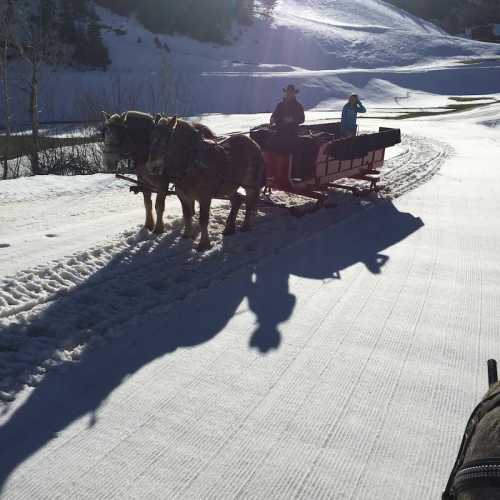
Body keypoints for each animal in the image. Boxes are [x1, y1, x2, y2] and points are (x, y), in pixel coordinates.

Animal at [148, 116, 266, 250]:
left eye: (166, 140)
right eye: (151, 138)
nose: (152, 167)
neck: (192, 162)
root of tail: (254, 143)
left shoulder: (204, 197)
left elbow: (203, 220)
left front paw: (203, 244)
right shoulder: (183, 196)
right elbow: (187, 215)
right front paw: (186, 236)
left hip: (250, 185)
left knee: (250, 202)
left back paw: (246, 226)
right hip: (228, 187)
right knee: (238, 200)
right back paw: (229, 228)